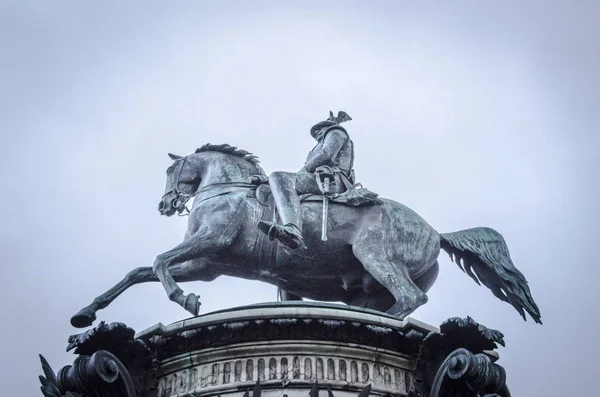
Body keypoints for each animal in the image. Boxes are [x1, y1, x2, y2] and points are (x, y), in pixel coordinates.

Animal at [69, 144, 540, 326]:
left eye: (171, 169)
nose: (165, 204)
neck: (228, 189)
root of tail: (436, 232)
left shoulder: (209, 246)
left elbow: (157, 262)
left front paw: (185, 300)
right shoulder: (207, 263)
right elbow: (137, 272)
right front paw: (87, 312)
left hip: (378, 259)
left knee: (411, 298)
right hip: (369, 285)